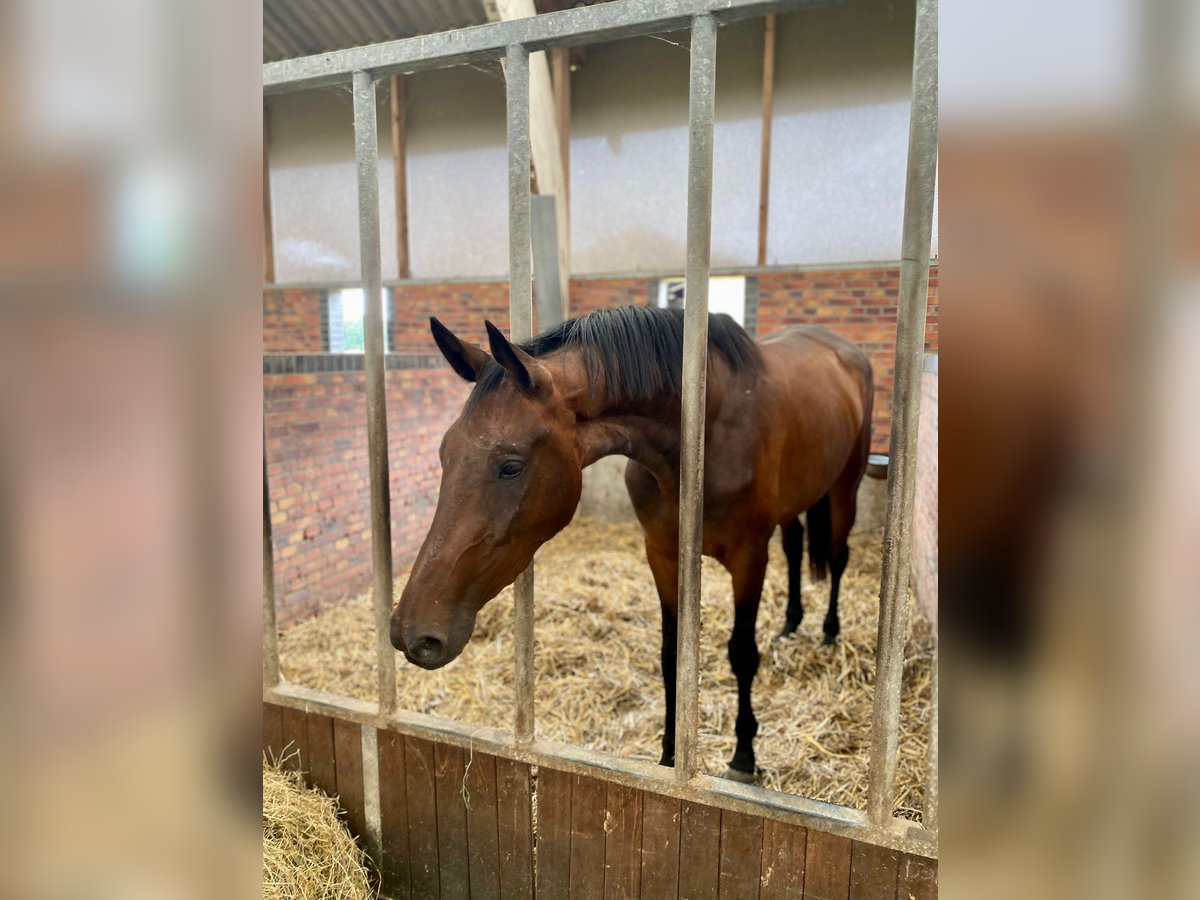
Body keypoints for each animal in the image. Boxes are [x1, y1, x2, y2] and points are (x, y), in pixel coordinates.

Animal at [393, 304, 873, 782]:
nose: (410, 632)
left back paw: (829, 632)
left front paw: (743, 755)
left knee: (838, 556)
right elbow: (671, 654)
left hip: (846, 488)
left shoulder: (749, 557)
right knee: (795, 550)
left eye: (510, 466)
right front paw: (670, 758)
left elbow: (741, 653)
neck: (705, 436)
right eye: (444, 453)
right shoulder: (661, 553)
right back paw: (791, 624)